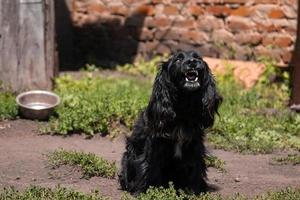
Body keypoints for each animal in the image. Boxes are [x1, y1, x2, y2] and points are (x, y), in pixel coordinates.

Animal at [118, 50, 221, 195]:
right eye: (178, 59)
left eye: (198, 58)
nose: (192, 62)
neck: (182, 111)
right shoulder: (153, 146)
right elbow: (150, 169)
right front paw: (148, 192)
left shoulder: (194, 146)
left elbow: (195, 170)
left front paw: (194, 191)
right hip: (128, 158)